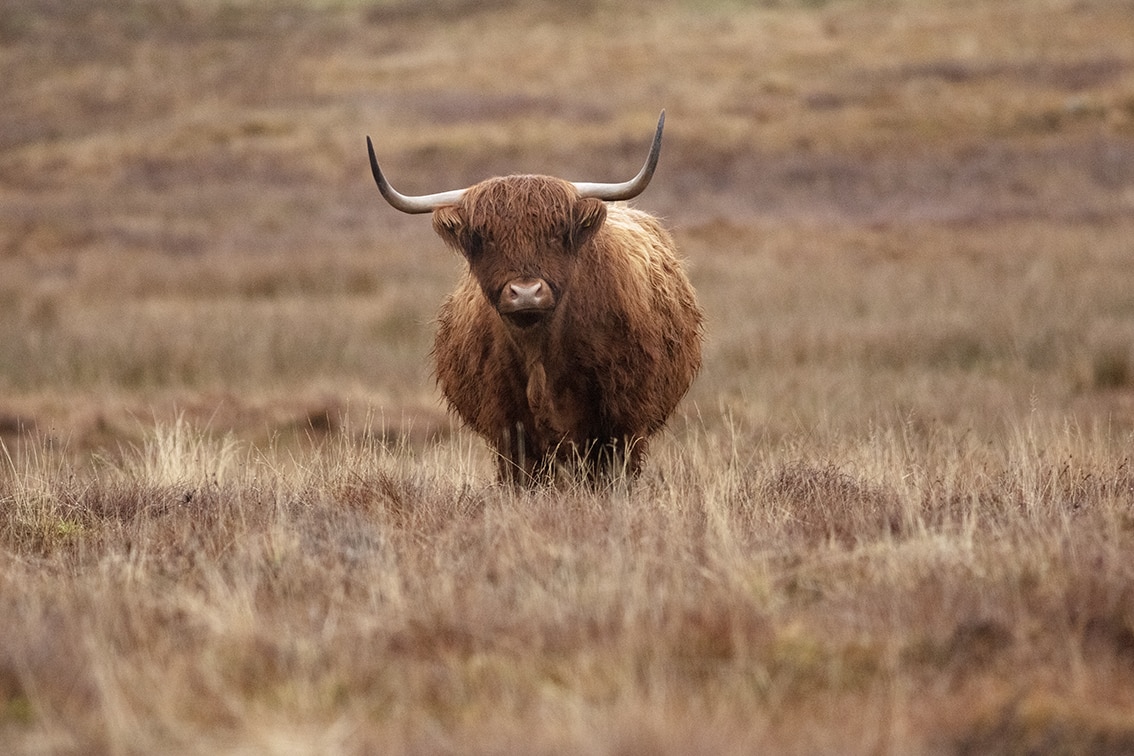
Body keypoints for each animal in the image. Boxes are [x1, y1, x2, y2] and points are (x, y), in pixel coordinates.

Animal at [367, 111, 698, 485]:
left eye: (557, 233)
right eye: (483, 238)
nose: (526, 292)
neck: (540, 354)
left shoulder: (620, 424)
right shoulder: (508, 430)